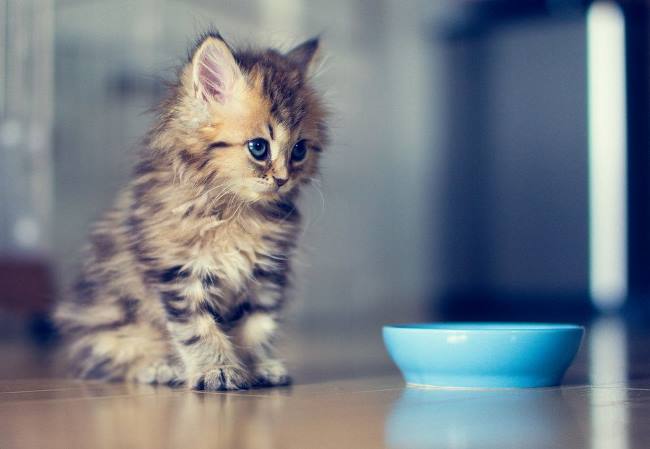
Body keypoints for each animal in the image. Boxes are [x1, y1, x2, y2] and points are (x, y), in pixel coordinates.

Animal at [55, 30, 326, 388]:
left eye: (299, 151)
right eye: (258, 148)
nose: (283, 179)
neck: (235, 211)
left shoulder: (265, 276)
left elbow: (257, 327)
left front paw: (257, 366)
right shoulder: (180, 274)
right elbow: (199, 331)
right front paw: (217, 369)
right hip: (107, 324)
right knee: (105, 360)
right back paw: (160, 367)